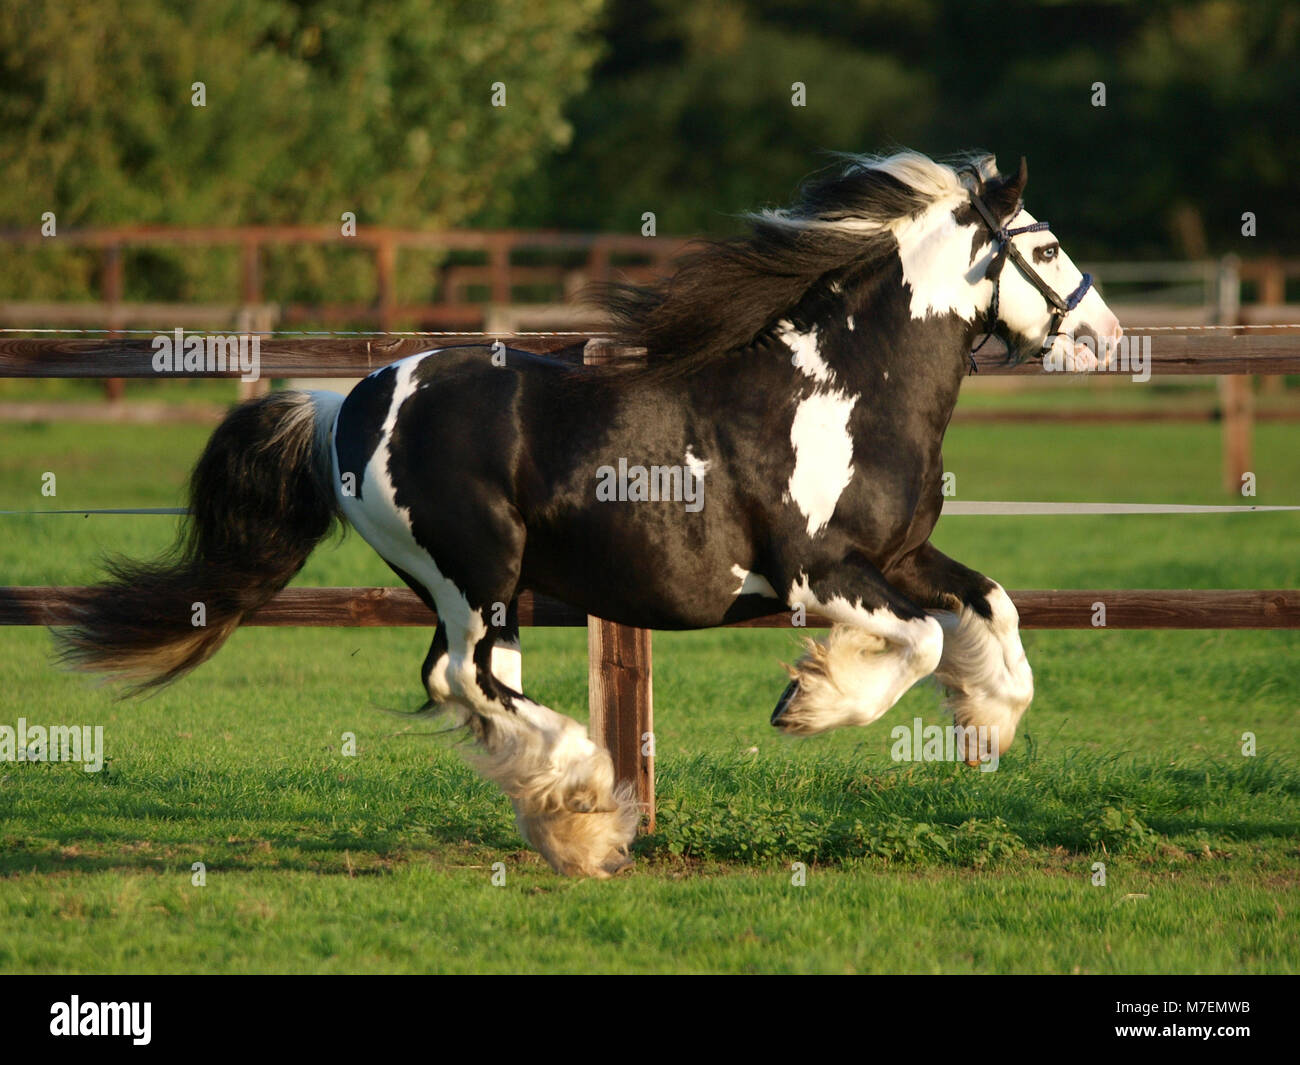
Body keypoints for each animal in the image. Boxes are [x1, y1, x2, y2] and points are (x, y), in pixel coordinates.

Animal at [56, 151, 1123, 878]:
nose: (1110, 339)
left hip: (491, 590)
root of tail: (345, 404)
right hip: (474, 573)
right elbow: (923, 641)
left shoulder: (901, 553)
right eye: (1046, 246)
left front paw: (983, 728)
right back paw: (584, 801)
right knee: (465, 678)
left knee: (476, 685)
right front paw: (812, 700)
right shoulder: (814, 571)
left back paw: (565, 816)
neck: (845, 390)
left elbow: (992, 610)